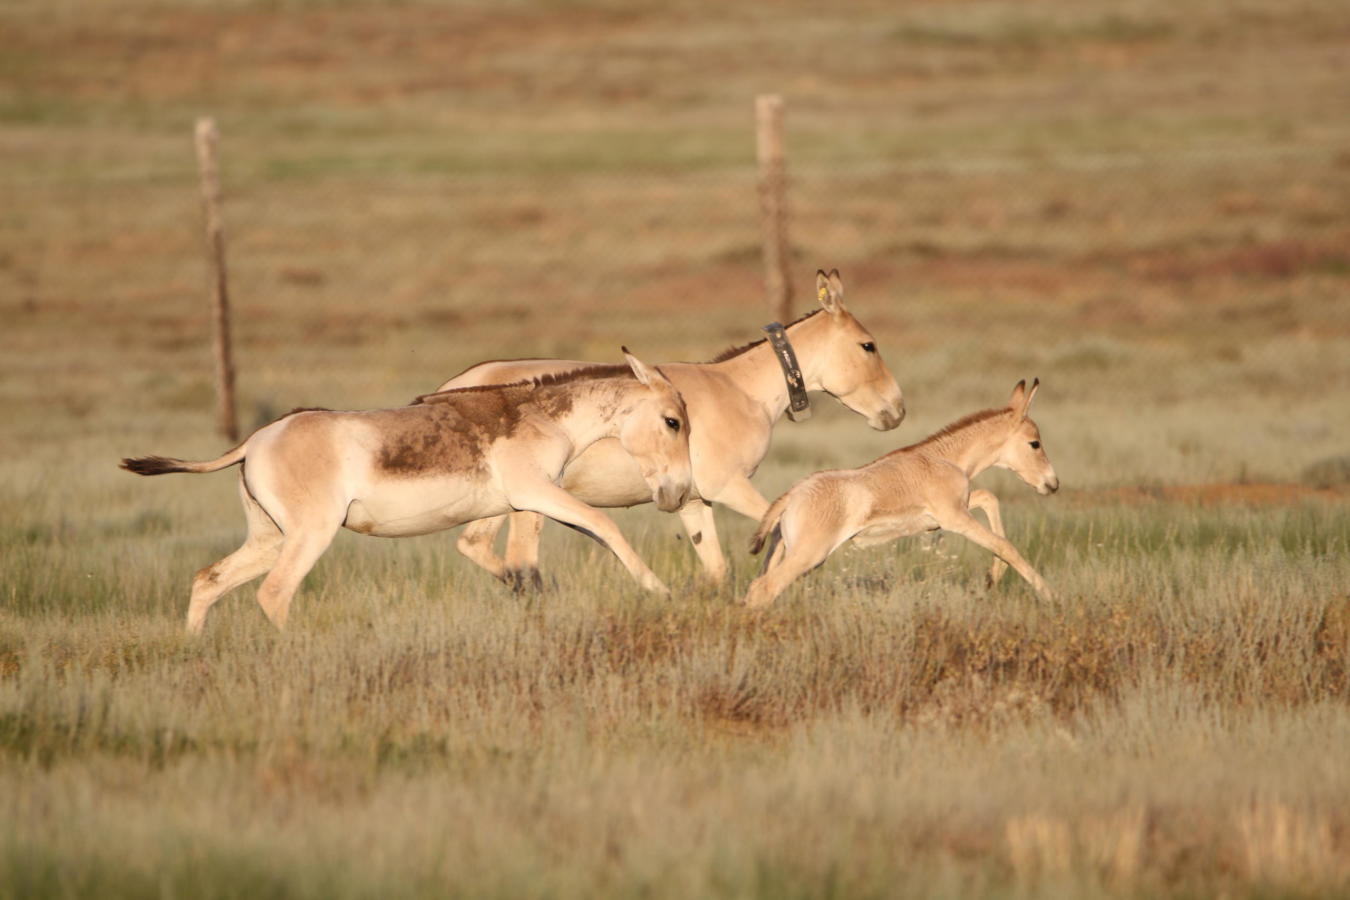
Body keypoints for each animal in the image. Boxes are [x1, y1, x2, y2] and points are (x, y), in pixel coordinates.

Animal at [745, 380, 1058, 612]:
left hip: (786, 550)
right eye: (1035, 443)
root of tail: (792, 494)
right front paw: (1049, 595)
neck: (944, 458)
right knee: (764, 589)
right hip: (809, 555)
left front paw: (993, 576)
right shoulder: (955, 518)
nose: (1053, 484)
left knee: (755, 588)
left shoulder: (956, 509)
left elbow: (989, 500)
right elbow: (1005, 545)